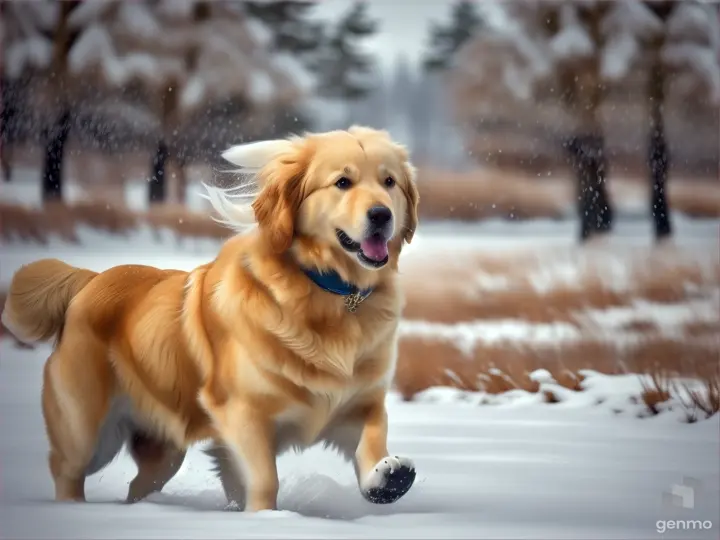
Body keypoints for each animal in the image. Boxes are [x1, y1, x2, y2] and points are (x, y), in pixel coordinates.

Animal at [4, 125, 422, 510]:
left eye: (389, 182)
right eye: (342, 182)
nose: (381, 214)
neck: (331, 294)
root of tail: (89, 280)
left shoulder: (359, 403)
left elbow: (372, 438)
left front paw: (387, 477)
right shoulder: (243, 413)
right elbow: (264, 479)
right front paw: (265, 518)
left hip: (165, 450)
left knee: (139, 485)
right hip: (88, 432)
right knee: (67, 469)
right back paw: (72, 506)